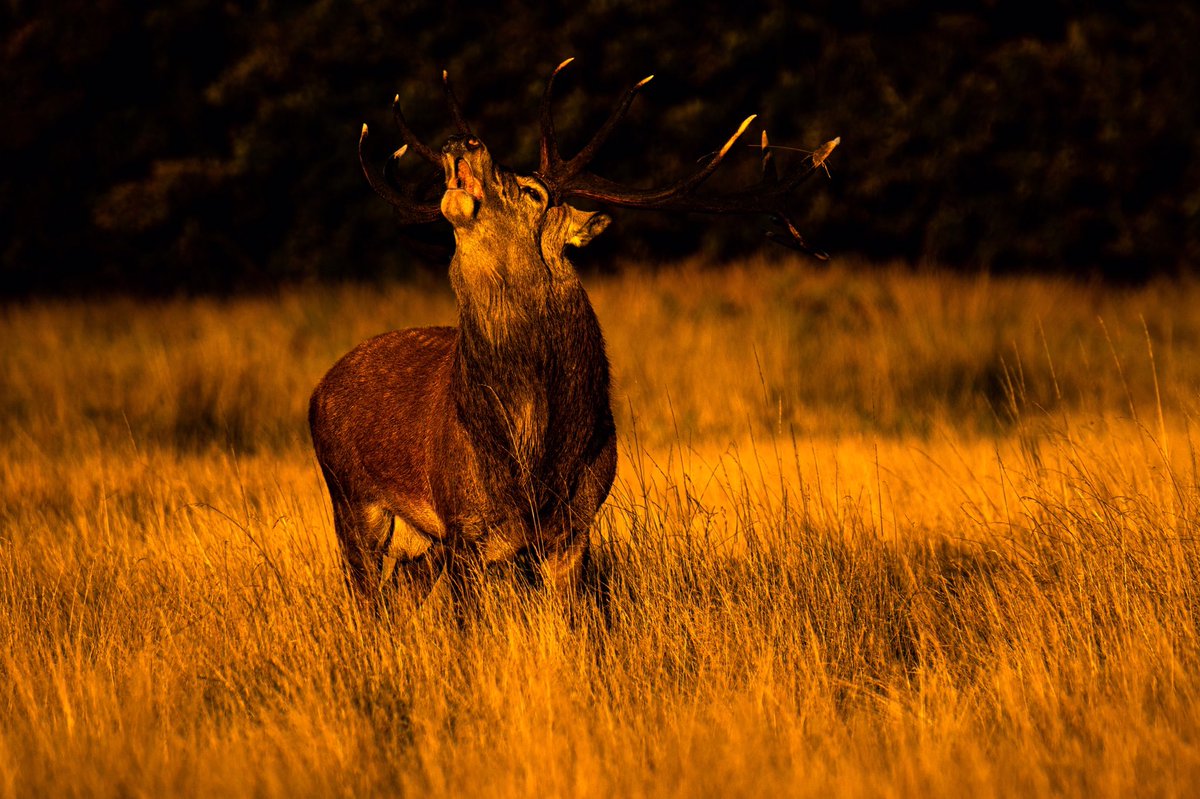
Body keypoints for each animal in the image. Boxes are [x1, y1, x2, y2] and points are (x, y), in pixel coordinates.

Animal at [309, 60, 838, 607]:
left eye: (533, 192)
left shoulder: (576, 524)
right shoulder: (465, 526)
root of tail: (319, 388)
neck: (534, 454)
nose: (462, 140)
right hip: (351, 499)